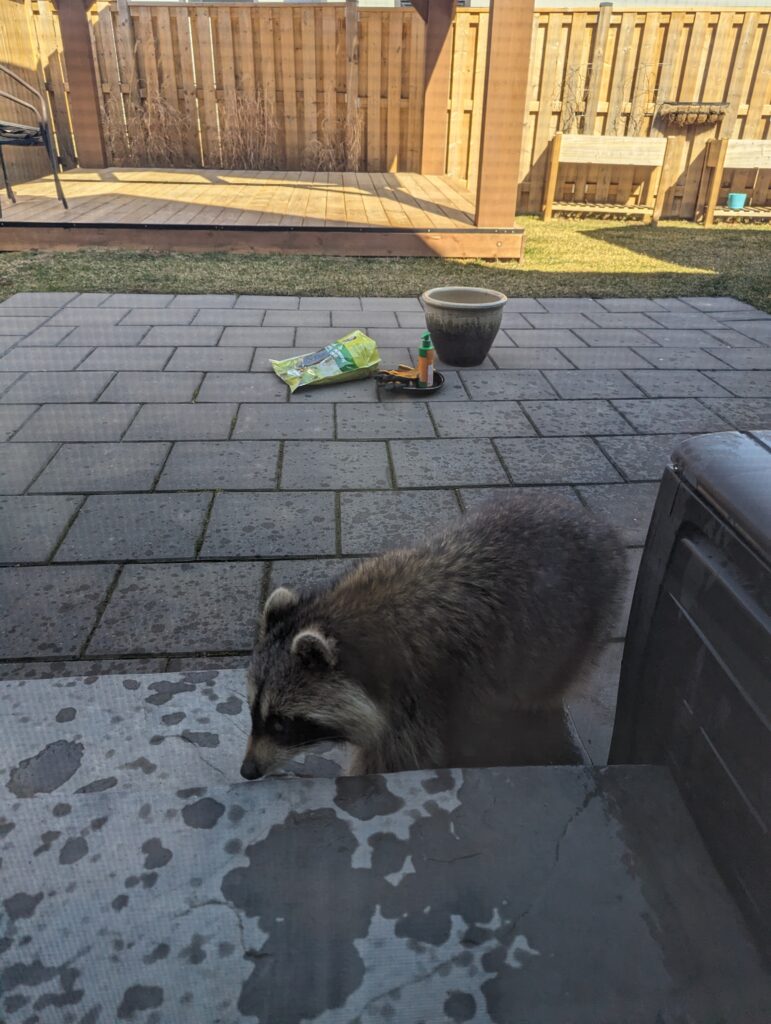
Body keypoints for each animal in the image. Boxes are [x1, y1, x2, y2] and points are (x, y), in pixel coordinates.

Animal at [240, 493, 626, 774]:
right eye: (253, 711)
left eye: (281, 723)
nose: (248, 771)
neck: (344, 615)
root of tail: (599, 526)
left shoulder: (418, 694)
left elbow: (396, 759)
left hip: (582, 621)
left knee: (547, 677)